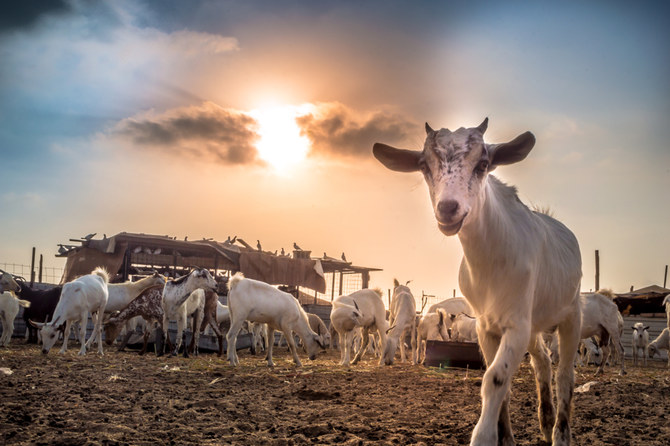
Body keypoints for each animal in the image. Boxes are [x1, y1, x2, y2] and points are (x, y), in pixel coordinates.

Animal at [376, 116, 584, 444]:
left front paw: (484, 436)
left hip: (571, 312)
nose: (448, 209)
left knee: (565, 374)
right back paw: (546, 420)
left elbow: (495, 378)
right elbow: (504, 385)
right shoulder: (487, 325)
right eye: (424, 165)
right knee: (542, 361)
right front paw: (506, 437)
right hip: (534, 321)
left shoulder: (515, 323)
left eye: (483, 163)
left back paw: (561, 433)